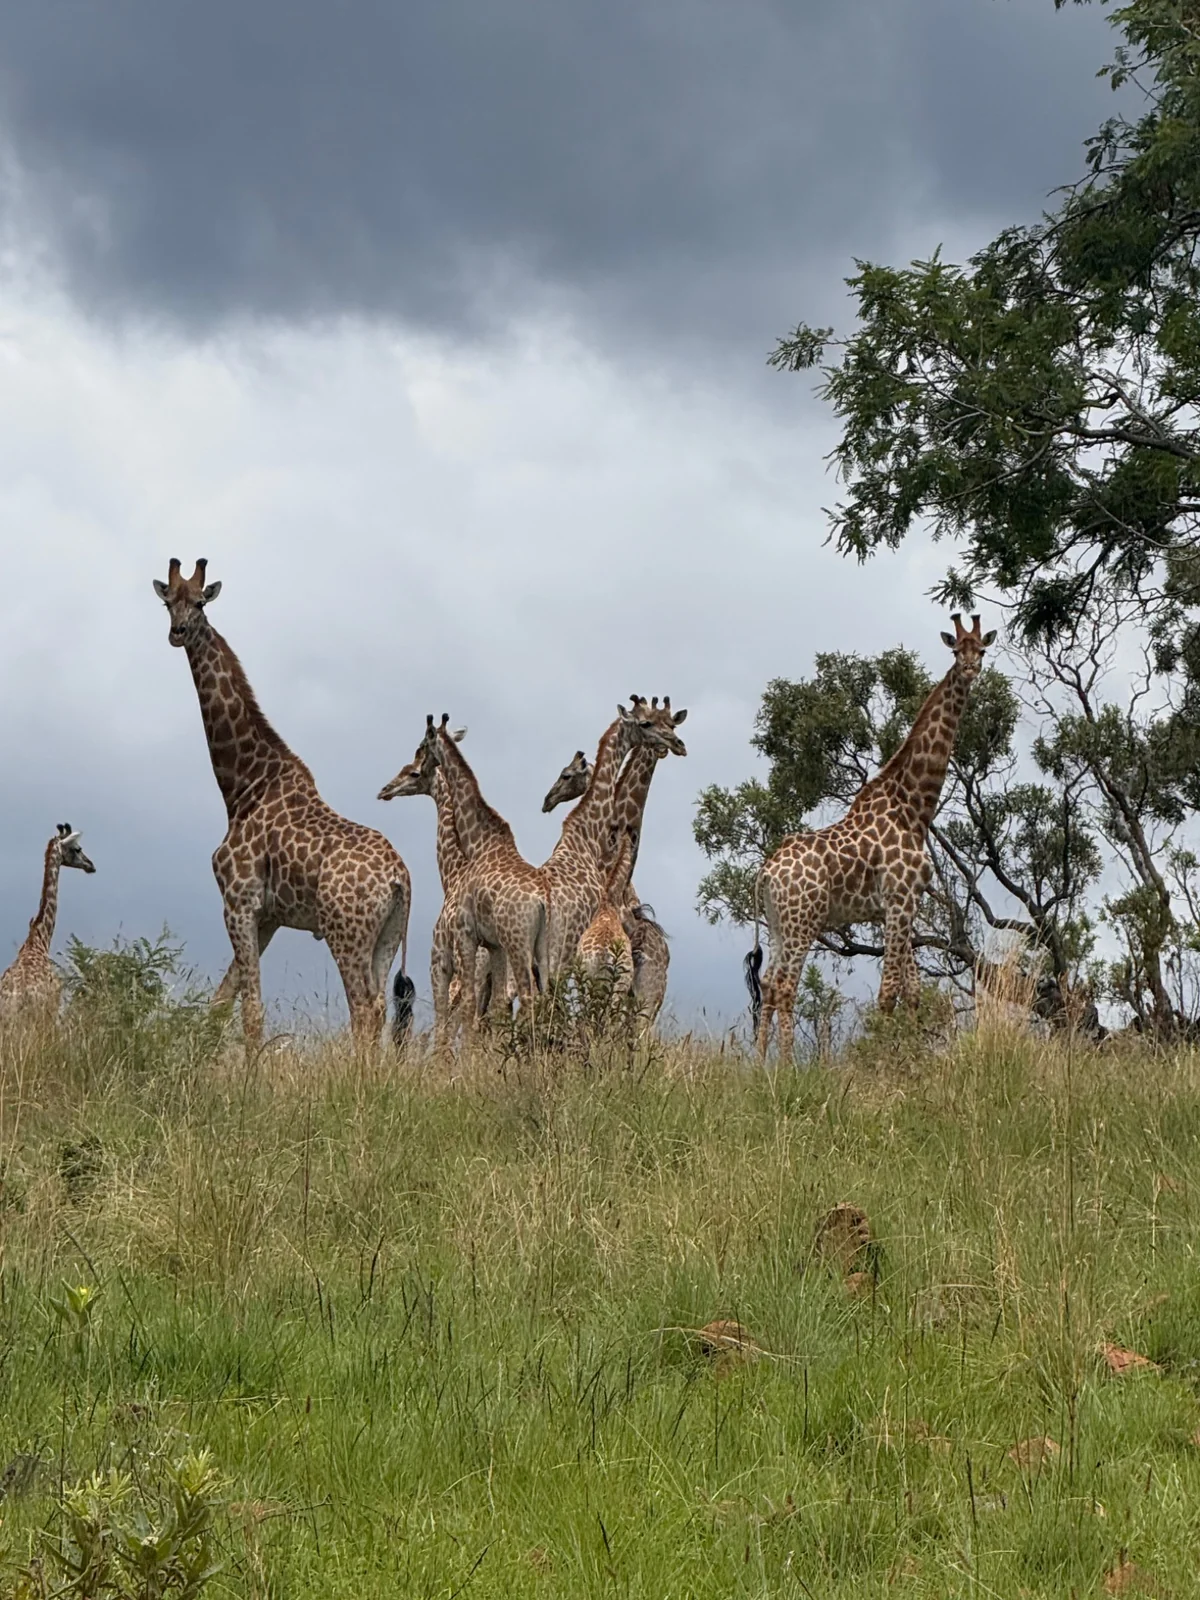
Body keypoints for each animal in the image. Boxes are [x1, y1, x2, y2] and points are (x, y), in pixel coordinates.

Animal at [153, 559, 411, 1049]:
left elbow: (250, 1011)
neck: (243, 786)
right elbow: (220, 1004)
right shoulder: (268, 917)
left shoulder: (239, 901)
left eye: (200, 602)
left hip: (346, 932)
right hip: (387, 937)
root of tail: (399, 880)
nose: (178, 632)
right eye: (167, 601)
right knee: (380, 1007)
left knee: (363, 1010)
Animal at [746, 614, 996, 1059]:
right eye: (956, 650)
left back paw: (759, 1064)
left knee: (771, 985)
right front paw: (884, 1061)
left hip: (778, 924)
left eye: (981, 649)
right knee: (786, 986)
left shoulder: (901, 907)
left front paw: (912, 1059)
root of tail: (766, 872)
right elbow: (889, 992)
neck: (913, 806)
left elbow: (912, 991)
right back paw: (786, 1066)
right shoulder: (898, 900)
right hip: (802, 921)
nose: (970, 670)